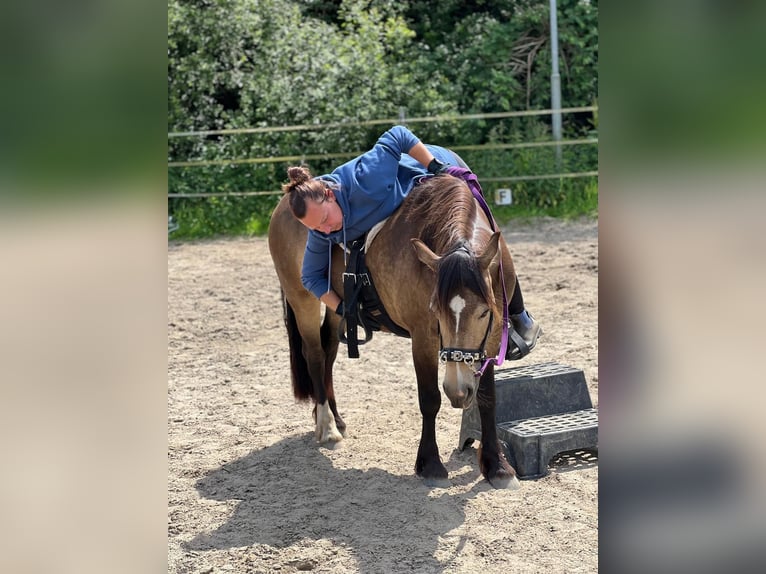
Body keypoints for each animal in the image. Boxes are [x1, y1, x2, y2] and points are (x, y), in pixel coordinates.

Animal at [268, 176, 520, 490]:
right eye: (435, 310)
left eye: (484, 312)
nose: (458, 390)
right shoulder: (423, 338)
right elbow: (430, 399)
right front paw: (430, 463)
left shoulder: (493, 336)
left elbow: (487, 398)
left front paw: (497, 465)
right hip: (302, 297)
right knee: (314, 354)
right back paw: (326, 426)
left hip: (336, 309)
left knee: (328, 349)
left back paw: (334, 417)